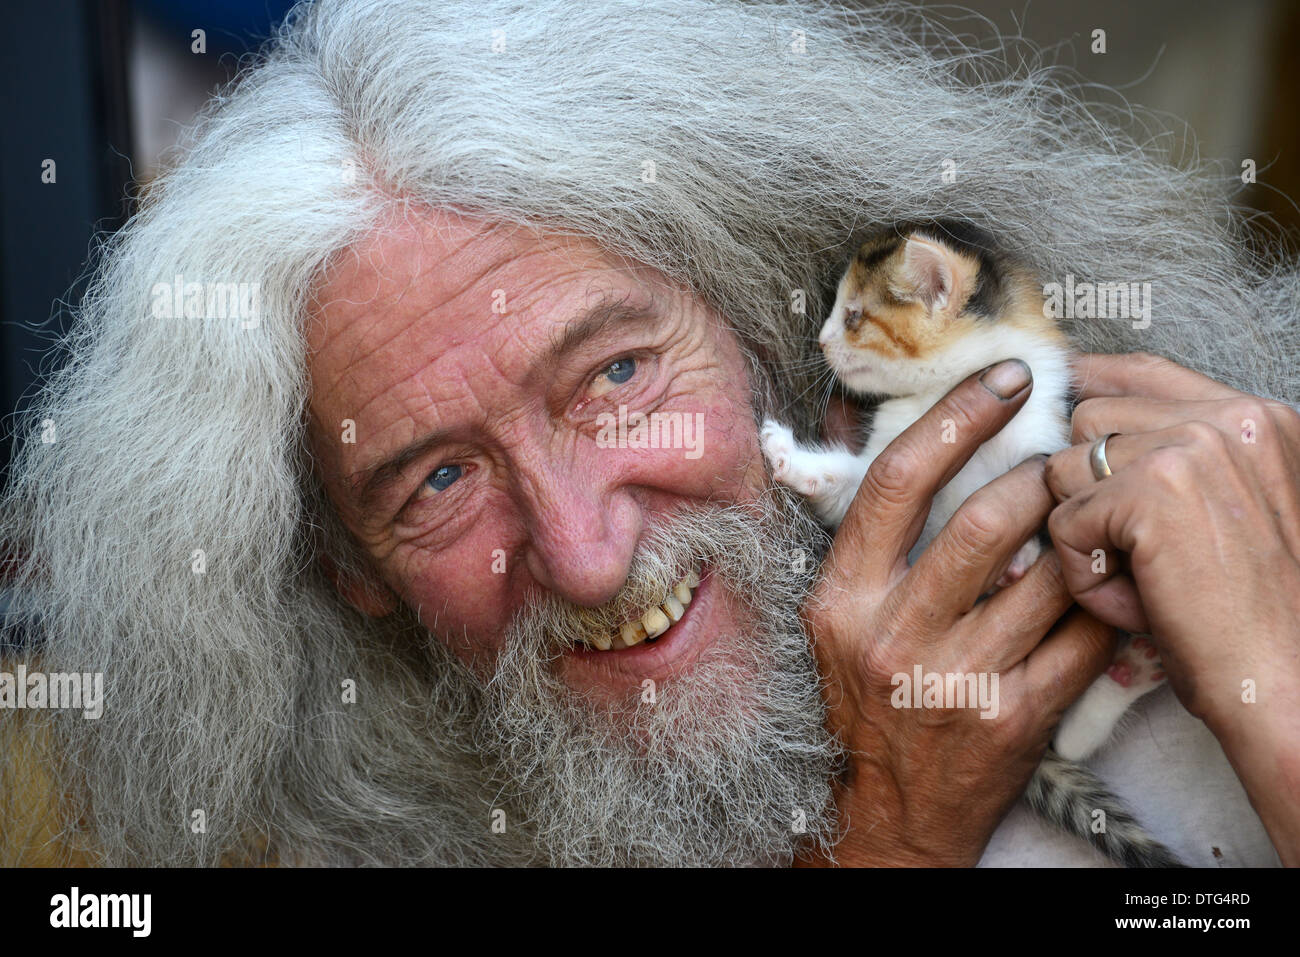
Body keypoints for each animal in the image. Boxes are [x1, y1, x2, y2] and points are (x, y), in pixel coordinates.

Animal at [759, 226, 1180, 868]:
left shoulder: (1051, 444)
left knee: (1067, 742)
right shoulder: (875, 470)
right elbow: (843, 484)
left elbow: (1055, 511)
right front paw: (787, 457)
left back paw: (1129, 669)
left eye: (853, 315)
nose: (823, 341)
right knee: (1064, 745)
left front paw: (1021, 556)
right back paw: (1131, 670)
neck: (941, 397)